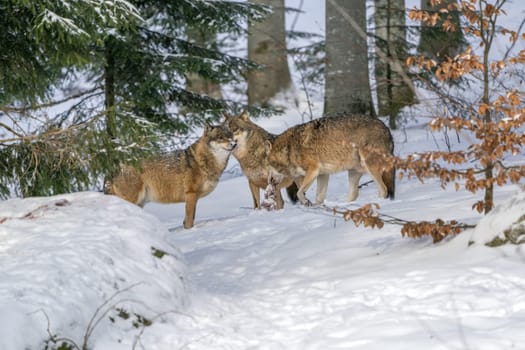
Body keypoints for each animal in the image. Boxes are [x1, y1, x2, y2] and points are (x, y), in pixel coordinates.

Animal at [104, 124, 235, 228]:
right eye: (220, 137)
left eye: (230, 136)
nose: (234, 144)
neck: (202, 161)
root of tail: (112, 168)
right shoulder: (191, 194)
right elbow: (189, 221)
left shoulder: (194, 197)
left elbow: (189, 218)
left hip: (140, 203)